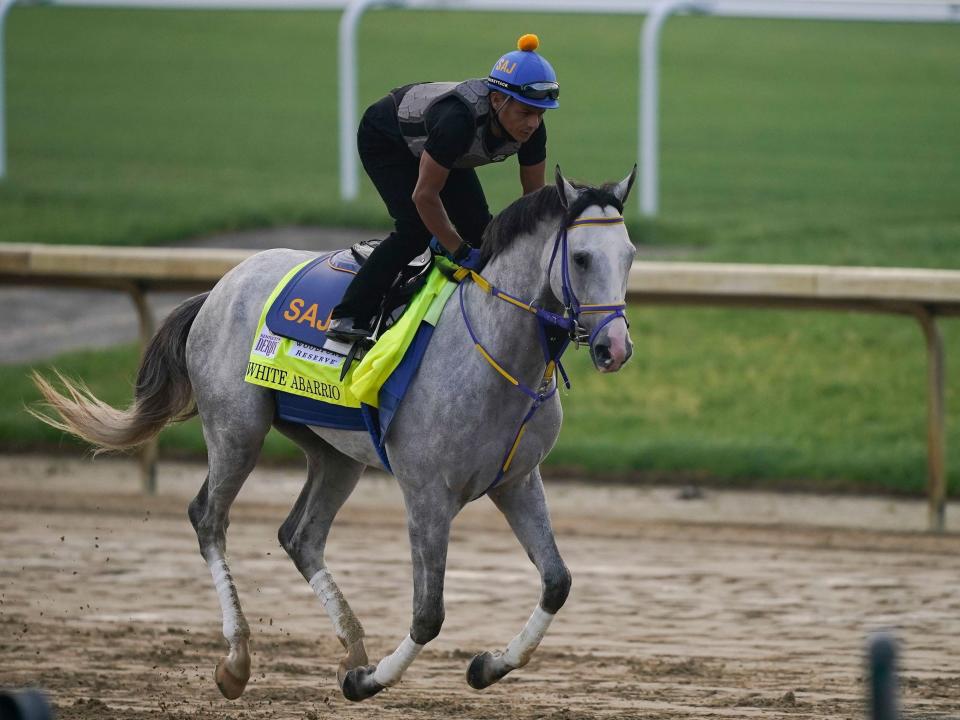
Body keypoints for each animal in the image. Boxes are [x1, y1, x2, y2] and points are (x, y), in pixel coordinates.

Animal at [31, 167, 636, 704]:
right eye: (581, 258)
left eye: (630, 255)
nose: (616, 348)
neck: (490, 350)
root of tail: (220, 286)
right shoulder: (427, 493)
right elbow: (428, 614)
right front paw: (367, 682)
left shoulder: (517, 480)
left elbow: (557, 581)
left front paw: (485, 666)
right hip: (237, 430)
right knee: (208, 518)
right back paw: (238, 661)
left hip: (336, 455)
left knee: (300, 536)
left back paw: (352, 645)